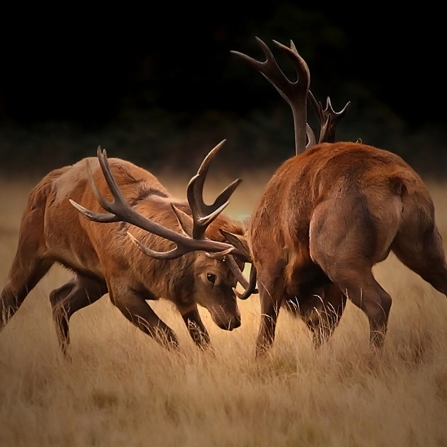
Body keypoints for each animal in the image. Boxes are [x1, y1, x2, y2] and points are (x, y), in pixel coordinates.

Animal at [0, 142, 250, 352]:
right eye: (211, 276)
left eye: (237, 275)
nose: (234, 321)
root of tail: (43, 183)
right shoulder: (120, 287)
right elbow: (168, 335)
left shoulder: (184, 296)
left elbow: (202, 339)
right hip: (31, 247)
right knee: (9, 300)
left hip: (94, 277)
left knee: (58, 299)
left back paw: (66, 359)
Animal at [233, 36, 447, 356]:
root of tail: (396, 182)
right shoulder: (326, 288)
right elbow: (326, 325)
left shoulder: (269, 259)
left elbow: (265, 331)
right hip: (424, 239)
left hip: (338, 250)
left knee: (380, 302)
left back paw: (373, 359)